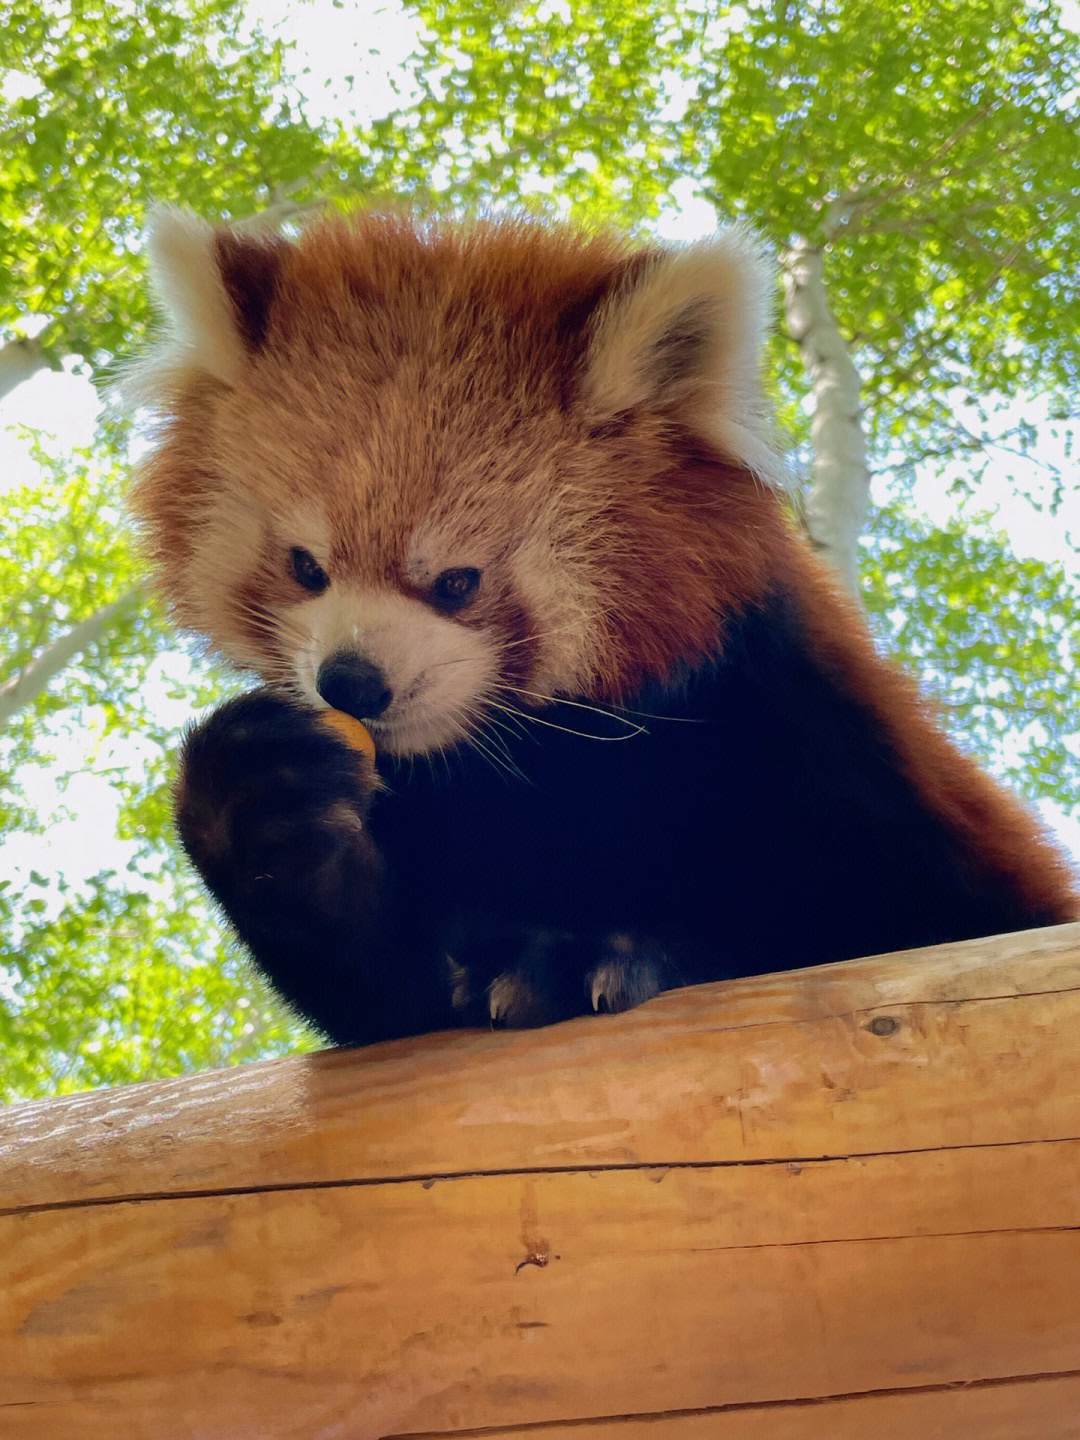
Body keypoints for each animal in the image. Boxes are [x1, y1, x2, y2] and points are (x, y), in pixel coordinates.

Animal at [131, 208, 1077, 1048]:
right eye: (306, 566)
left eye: (458, 582)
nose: (352, 684)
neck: (548, 765)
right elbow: (389, 995)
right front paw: (257, 800)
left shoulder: (810, 740)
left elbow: (874, 942)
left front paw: (596, 957)